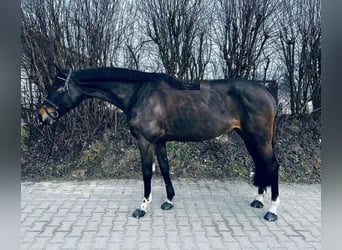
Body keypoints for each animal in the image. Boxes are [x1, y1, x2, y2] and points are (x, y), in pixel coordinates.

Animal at [38, 66, 280, 221]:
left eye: (59, 89)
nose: (42, 114)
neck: (139, 93)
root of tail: (267, 92)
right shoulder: (160, 141)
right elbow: (164, 168)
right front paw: (169, 201)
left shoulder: (145, 141)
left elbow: (147, 172)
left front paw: (143, 207)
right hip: (248, 137)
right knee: (261, 164)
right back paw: (259, 199)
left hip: (259, 138)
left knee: (272, 166)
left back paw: (272, 211)